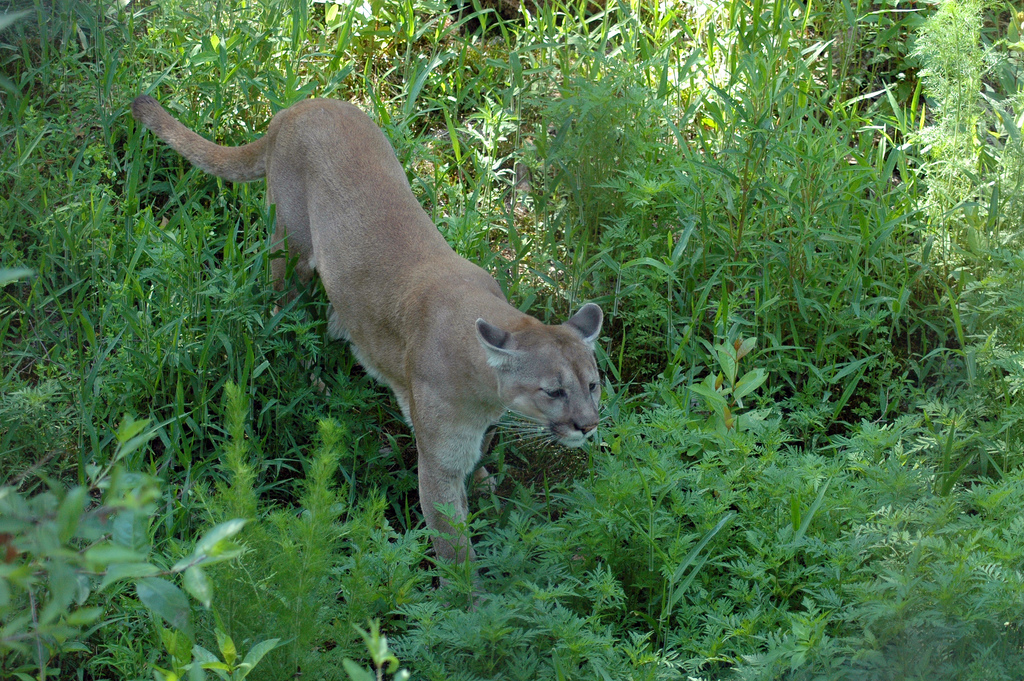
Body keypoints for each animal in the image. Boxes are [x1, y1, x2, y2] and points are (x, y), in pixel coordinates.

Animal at [132, 95, 602, 561]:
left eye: (593, 385)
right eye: (553, 391)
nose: (589, 425)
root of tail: (298, 107)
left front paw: (486, 481)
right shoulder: (439, 465)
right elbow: (455, 551)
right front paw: (468, 581)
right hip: (289, 248)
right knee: (285, 319)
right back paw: (312, 378)